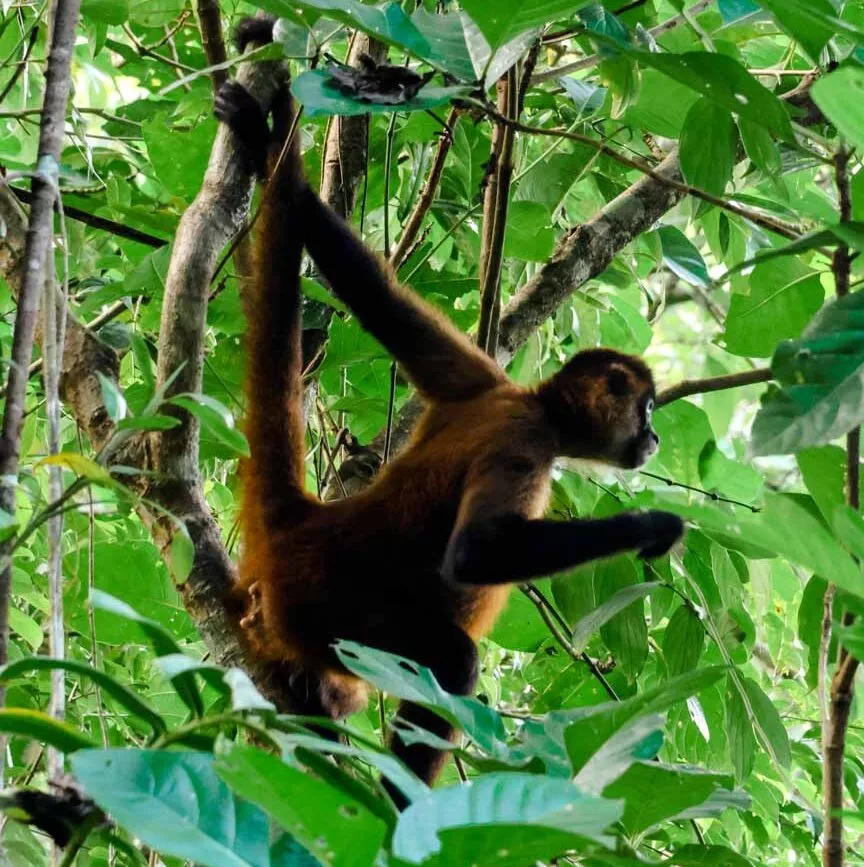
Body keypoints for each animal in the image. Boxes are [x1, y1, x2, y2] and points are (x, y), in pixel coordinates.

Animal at [214, 17, 685, 809]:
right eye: (646, 407)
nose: (652, 436)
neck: (535, 403)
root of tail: (306, 527)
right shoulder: (523, 437)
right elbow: (478, 551)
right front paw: (648, 527)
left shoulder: (478, 377)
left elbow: (368, 287)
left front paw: (262, 142)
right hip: (335, 608)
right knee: (452, 659)